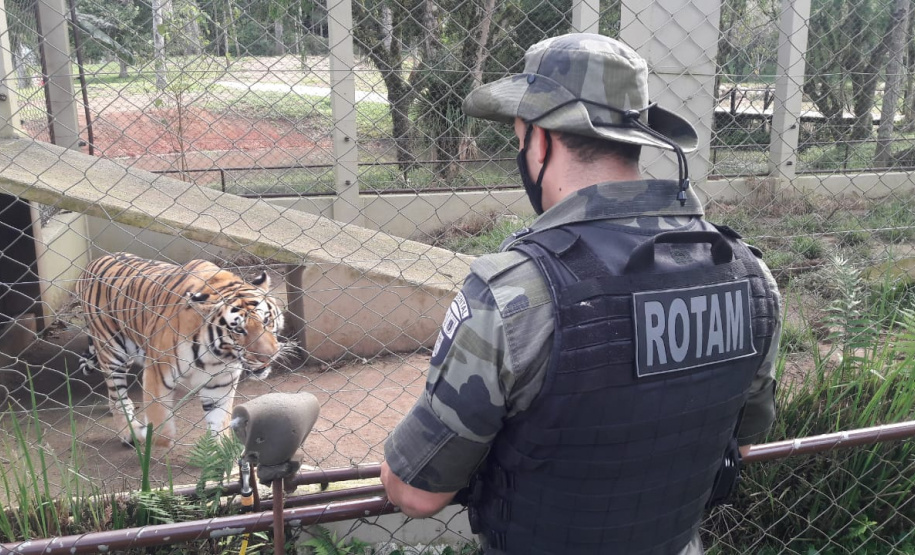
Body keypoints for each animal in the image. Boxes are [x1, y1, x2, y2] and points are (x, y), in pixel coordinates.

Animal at [75, 253, 288, 448]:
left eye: (266, 321)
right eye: (238, 330)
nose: (269, 356)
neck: (217, 356)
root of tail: (92, 263)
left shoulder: (221, 383)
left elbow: (219, 425)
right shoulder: (156, 374)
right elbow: (161, 431)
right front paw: (145, 433)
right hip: (112, 353)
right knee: (117, 398)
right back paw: (130, 433)